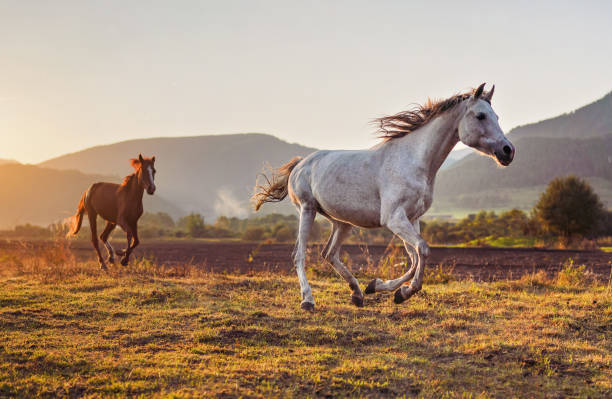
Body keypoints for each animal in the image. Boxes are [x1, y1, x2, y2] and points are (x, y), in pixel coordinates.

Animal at [251, 83, 512, 310]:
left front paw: (381, 288)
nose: (508, 151)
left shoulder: (412, 218)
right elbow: (423, 250)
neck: (412, 161)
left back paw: (357, 294)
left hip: (342, 222)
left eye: (497, 117)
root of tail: (300, 163)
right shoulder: (394, 218)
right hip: (307, 210)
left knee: (329, 254)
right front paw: (402, 292)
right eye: (481, 116)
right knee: (300, 255)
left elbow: (414, 257)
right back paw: (308, 300)